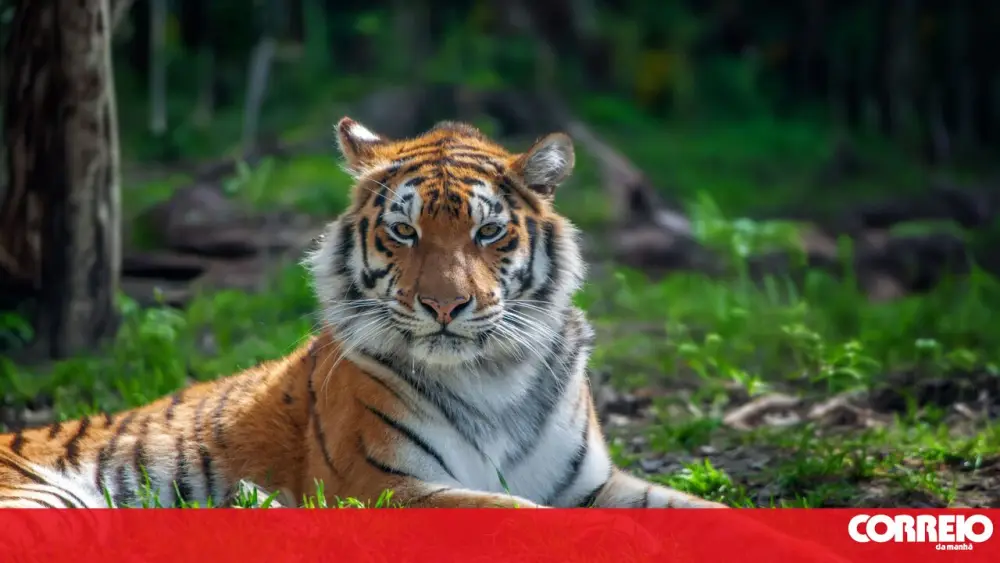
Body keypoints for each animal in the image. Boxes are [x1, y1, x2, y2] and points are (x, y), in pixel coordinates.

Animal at [0, 117, 727, 510]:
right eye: (404, 232)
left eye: (488, 232)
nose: (444, 304)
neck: (493, 376)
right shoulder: (385, 484)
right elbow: (523, 512)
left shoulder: (591, 482)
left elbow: (707, 508)